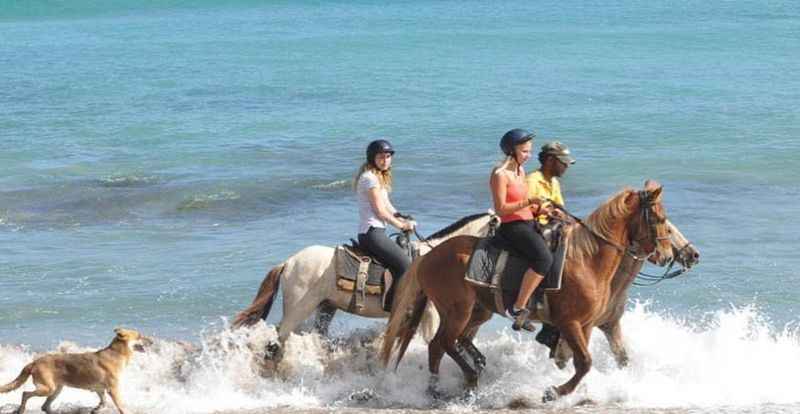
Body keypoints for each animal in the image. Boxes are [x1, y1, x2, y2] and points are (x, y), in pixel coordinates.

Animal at [0, 328, 152, 412]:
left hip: (56, 389)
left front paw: (96, 409)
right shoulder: (113, 389)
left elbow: (103, 402)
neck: (117, 353)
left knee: (45, 407)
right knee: (25, 394)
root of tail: (34, 362)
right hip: (47, 388)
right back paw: (21, 409)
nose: (152, 341)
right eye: (139, 336)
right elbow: (120, 406)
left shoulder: (99, 389)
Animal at [382, 181, 676, 402]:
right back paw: (468, 379)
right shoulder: (570, 322)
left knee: (441, 345)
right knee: (443, 342)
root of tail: (428, 256)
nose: (665, 254)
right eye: (660, 218)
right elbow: (584, 362)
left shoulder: (588, 324)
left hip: (478, 310)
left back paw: (439, 387)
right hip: (457, 311)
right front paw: (555, 392)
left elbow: (587, 360)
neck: (588, 259)